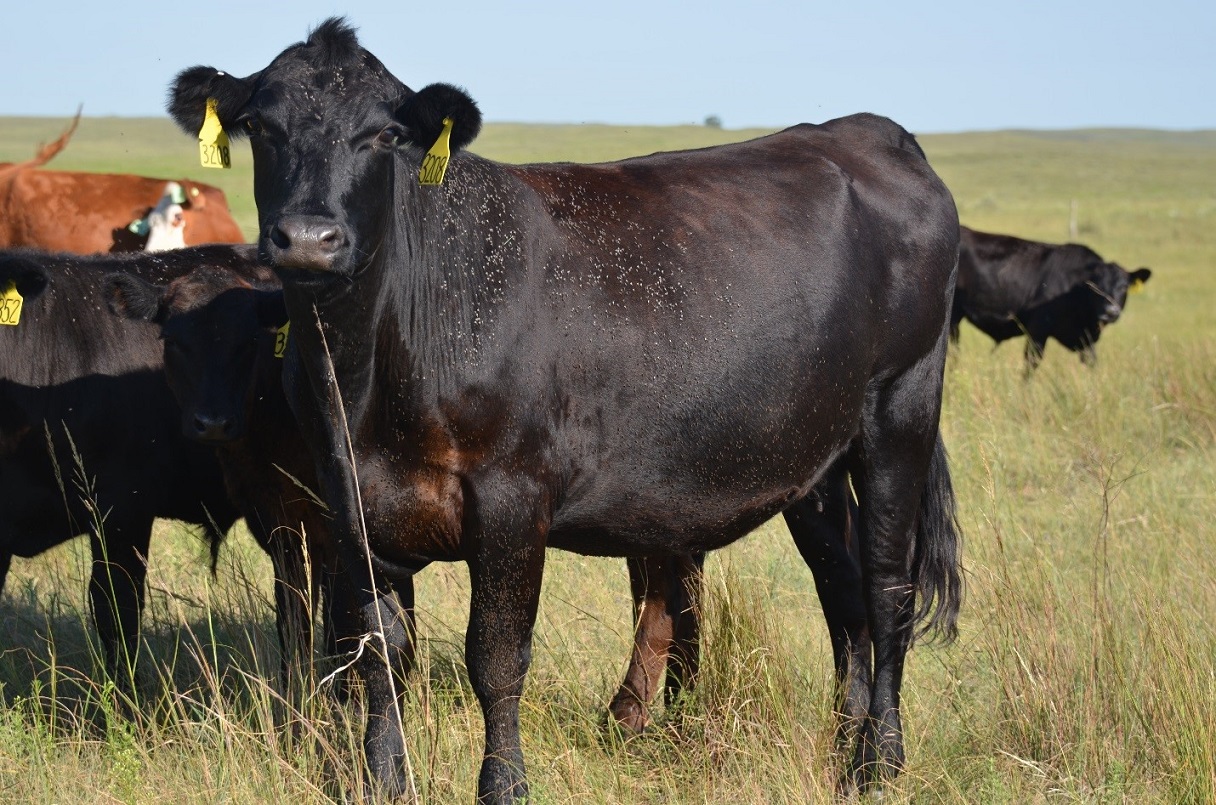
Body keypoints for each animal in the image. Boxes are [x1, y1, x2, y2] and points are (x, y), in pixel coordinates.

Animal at [948, 223, 1147, 369]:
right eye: (1096, 286)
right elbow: (1031, 364)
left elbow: (1092, 362)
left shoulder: (1086, 341)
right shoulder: (1038, 330)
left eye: (1123, 287)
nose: (1110, 311)